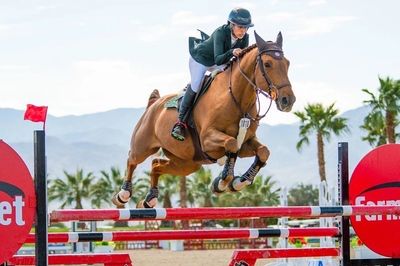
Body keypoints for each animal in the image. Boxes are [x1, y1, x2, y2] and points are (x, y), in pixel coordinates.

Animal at [111, 31, 296, 208]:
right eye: (268, 64)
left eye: (287, 63)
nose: (288, 100)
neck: (236, 98)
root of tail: (154, 103)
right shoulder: (208, 140)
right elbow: (231, 144)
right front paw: (222, 182)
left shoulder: (246, 142)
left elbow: (263, 151)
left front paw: (238, 182)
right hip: (143, 146)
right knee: (132, 159)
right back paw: (123, 194)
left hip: (187, 163)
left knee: (156, 165)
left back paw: (150, 199)